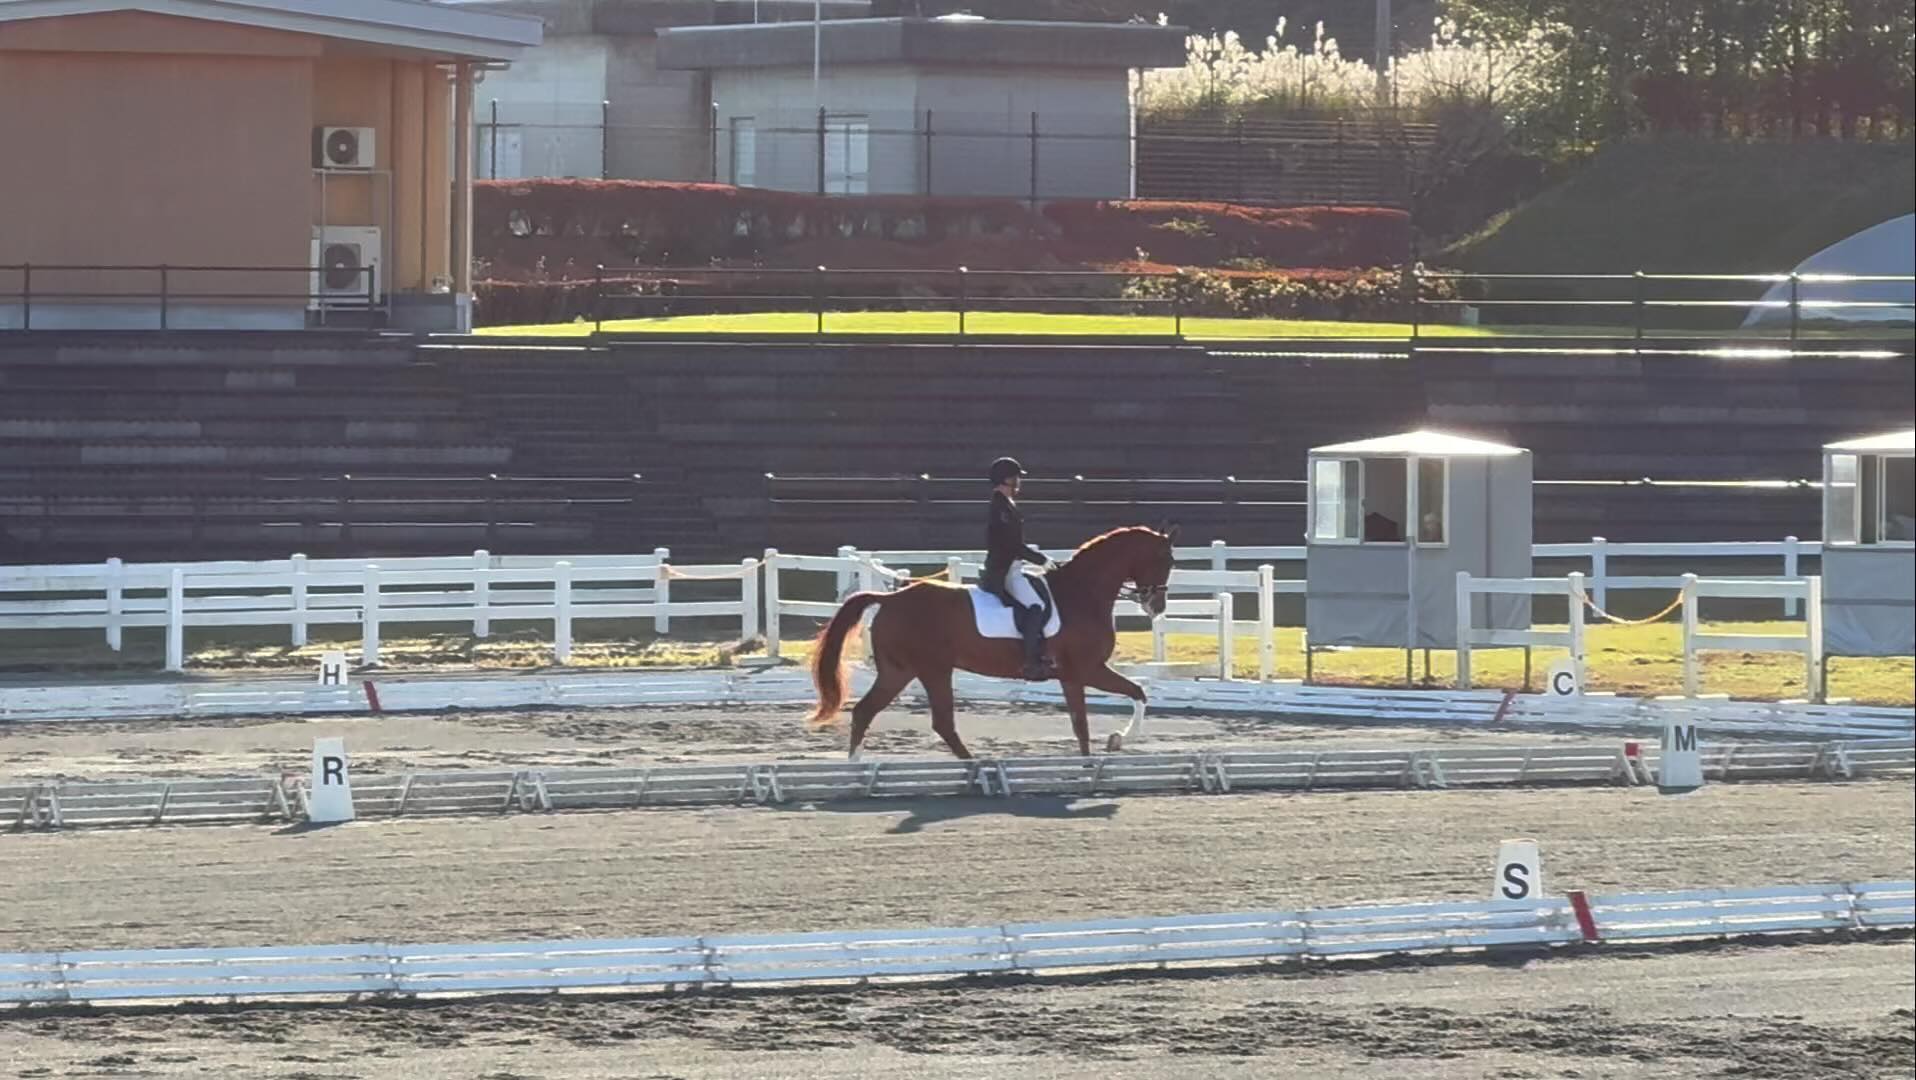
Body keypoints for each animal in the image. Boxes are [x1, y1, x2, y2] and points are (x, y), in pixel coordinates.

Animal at [806, 525, 1178, 759]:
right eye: (1166, 559)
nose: (1157, 606)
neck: (1081, 594)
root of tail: (890, 598)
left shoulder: (1073, 676)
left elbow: (1092, 719)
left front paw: (1102, 751)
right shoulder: (1086, 670)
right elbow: (1127, 699)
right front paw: (1115, 742)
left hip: (900, 671)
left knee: (866, 712)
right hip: (931, 670)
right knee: (939, 722)